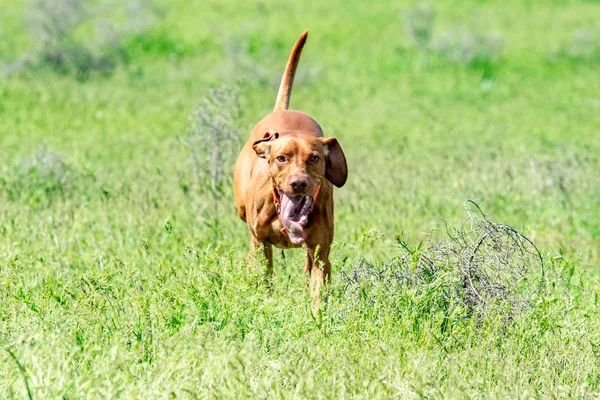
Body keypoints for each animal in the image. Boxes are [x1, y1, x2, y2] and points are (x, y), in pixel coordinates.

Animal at [233, 30, 346, 300]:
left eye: (315, 158)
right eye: (281, 158)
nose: (298, 183)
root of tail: (281, 110)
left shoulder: (321, 253)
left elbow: (318, 292)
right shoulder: (261, 243)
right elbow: (263, 281)